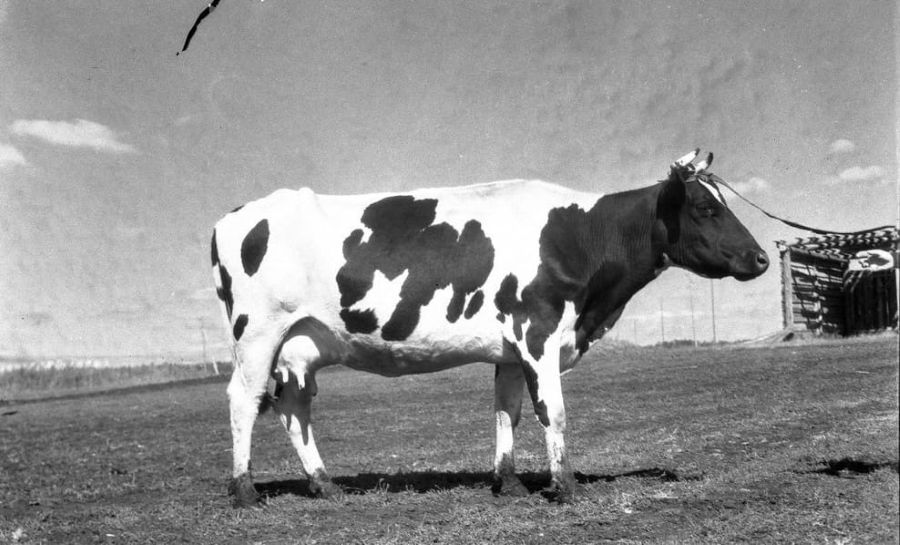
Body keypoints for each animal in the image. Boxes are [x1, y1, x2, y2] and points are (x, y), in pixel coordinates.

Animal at [210, 149, 769, 507]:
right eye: (706, 208)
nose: (761, 258)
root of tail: (233, 215)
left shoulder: (511, 348)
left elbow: (508, 412)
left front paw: (510, 483)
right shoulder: (538, 332)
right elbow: (552, 412)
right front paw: (564, 488)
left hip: (301, 344)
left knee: (293, 409)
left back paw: (325, 485)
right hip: (257, 332)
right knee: (243, 400)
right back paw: (245, 491)